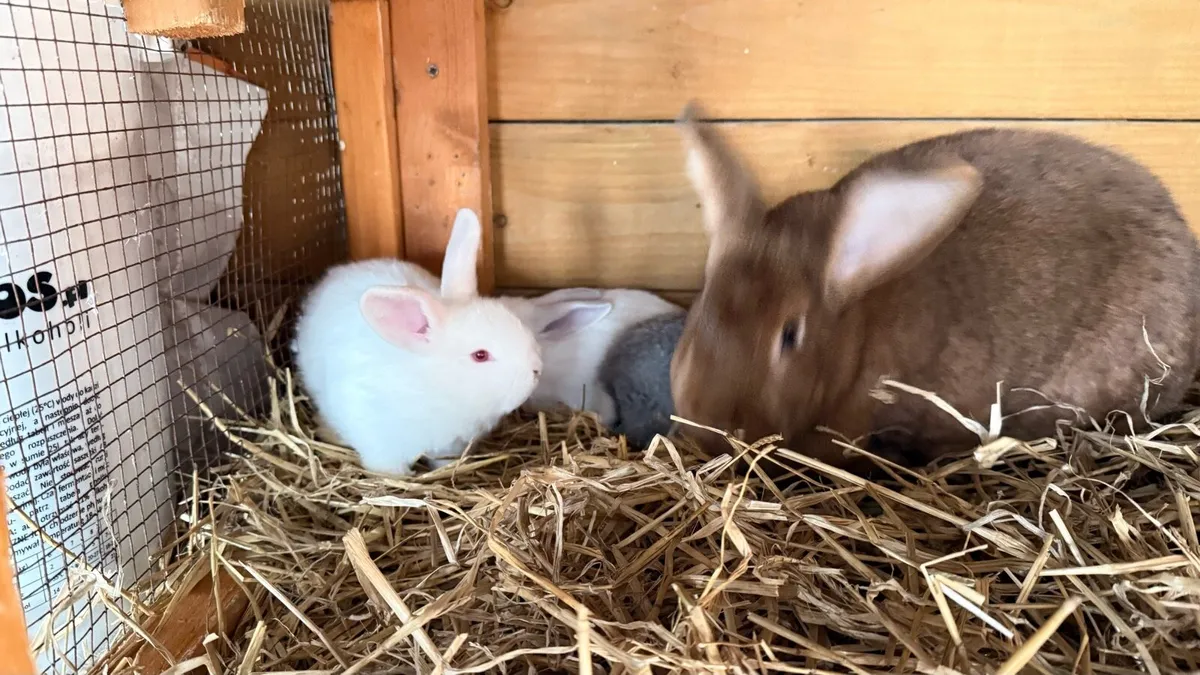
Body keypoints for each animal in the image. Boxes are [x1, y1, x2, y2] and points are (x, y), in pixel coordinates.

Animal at [292, 208, 543, 475]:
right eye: (480, 355)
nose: (537, 368)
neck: (436, 384)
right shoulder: (379, 440)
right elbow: (390, 469)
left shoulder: (449, 446)